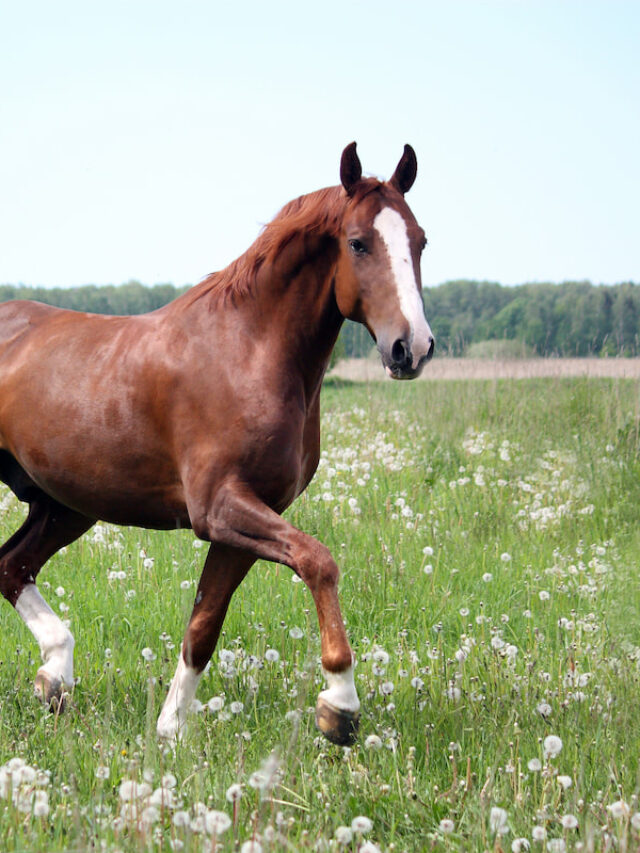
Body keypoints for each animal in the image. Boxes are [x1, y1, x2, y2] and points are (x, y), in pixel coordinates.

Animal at [0, 143, 434, 746]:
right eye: (358, 243)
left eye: (420, 240)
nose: (411, 348)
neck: (247, 350)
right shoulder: (220, 508)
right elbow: (319, 561)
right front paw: (339, 705)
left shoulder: (243, 523)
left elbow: (203, 626)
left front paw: (170, 732)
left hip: (66, 504)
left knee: (11, 566)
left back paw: (55, 677)